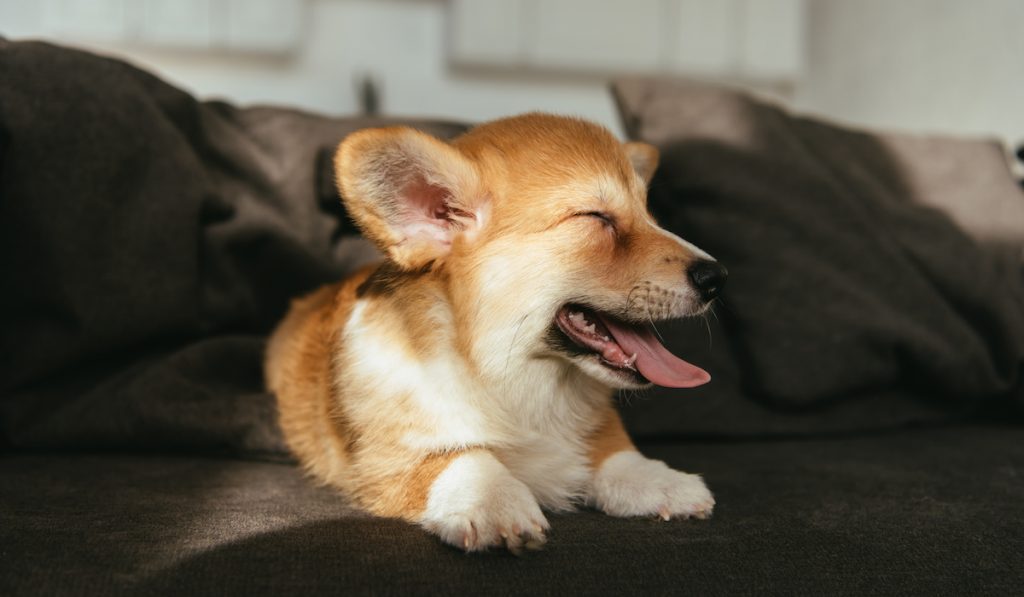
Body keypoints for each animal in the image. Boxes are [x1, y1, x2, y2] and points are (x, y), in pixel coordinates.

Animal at [264, 113, 729, 557]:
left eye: (650, 216)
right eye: (595, 218)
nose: (718, 278)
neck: (511, 379)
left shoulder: (592, 427)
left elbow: (614, 452)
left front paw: (661, 481)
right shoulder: (388, 461)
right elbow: (461, 456)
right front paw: (492, 501)